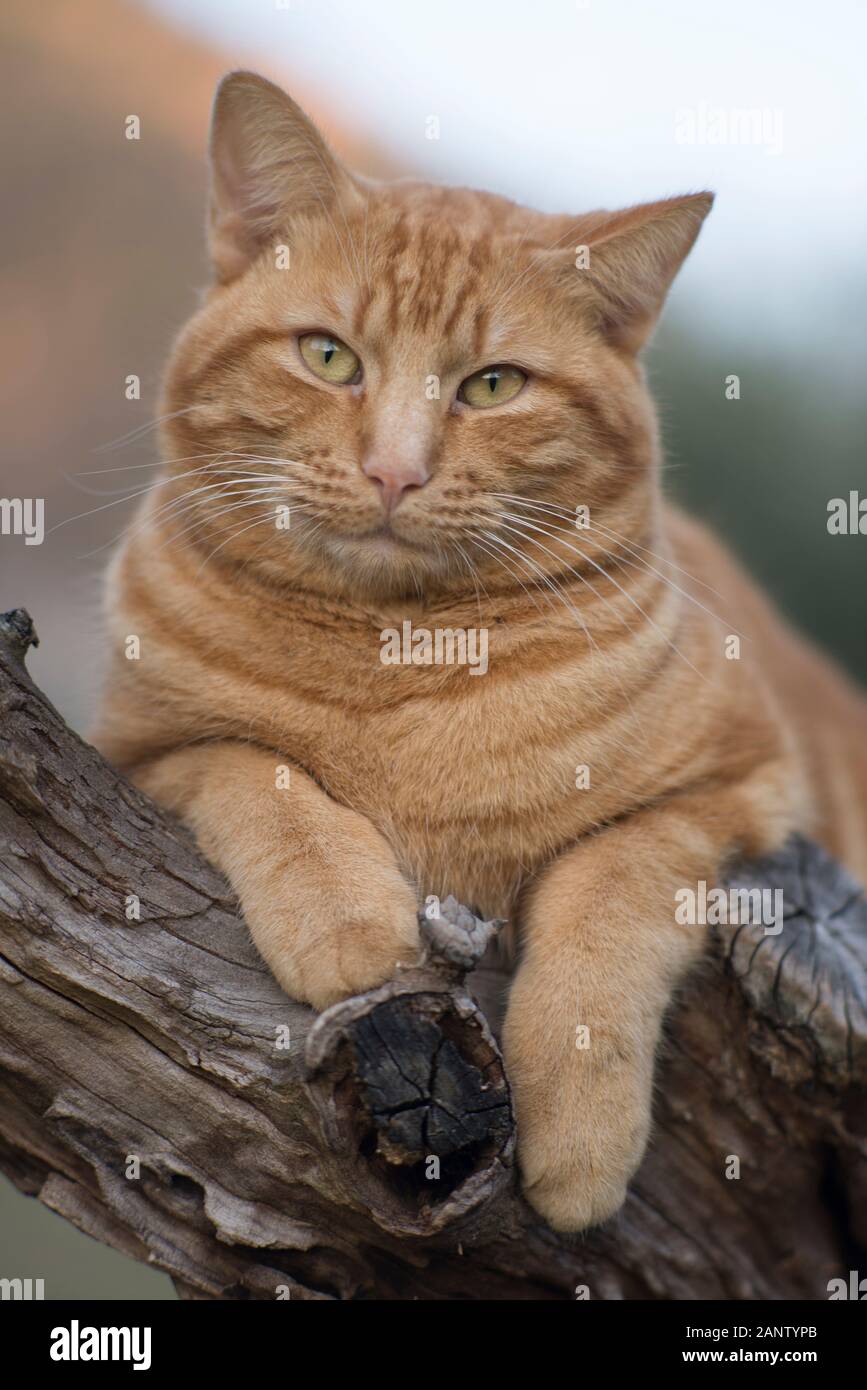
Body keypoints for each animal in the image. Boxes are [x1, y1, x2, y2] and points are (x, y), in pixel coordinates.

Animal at [93, 73, 867, 1228]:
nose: (394, 472)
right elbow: (251, 767)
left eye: (494, 386)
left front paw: (580, 1137)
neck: (397, 647)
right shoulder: (137, 749)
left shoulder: (737, 794)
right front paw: (345, 922)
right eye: (329, 356)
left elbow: (608, 893)